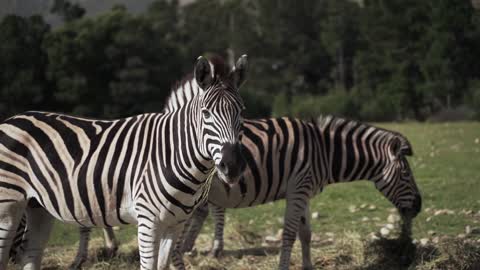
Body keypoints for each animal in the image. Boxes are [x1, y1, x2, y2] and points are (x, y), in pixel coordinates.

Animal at [0, 55, 248, 270]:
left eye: (241, 111)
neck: (174, 154)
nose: (232, 165)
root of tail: (11, 120)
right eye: (206, 113)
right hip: (8, 204)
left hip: (37, 206)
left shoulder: (175, 223)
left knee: (30, 254)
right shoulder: (148, 220)